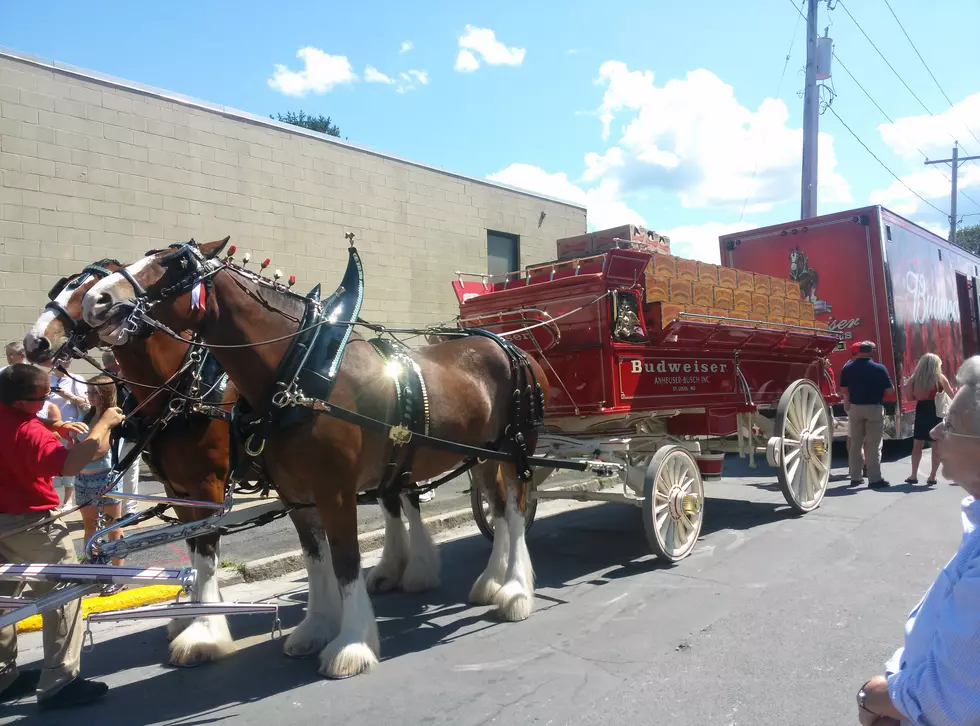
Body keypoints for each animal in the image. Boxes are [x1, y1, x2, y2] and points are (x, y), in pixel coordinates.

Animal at [80, 239, 548, 684]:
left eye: (176, 264)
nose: (95, 301)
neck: (299, 375)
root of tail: (507, 345)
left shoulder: (326, 490)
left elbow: (343, 561)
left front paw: (351, 644)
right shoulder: (293, 495)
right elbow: (313, 557)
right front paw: (315, 627)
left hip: (514, 451)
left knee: (514, 509)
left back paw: (515, 592)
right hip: (480, 454)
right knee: (496, 509)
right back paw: (490, 583)